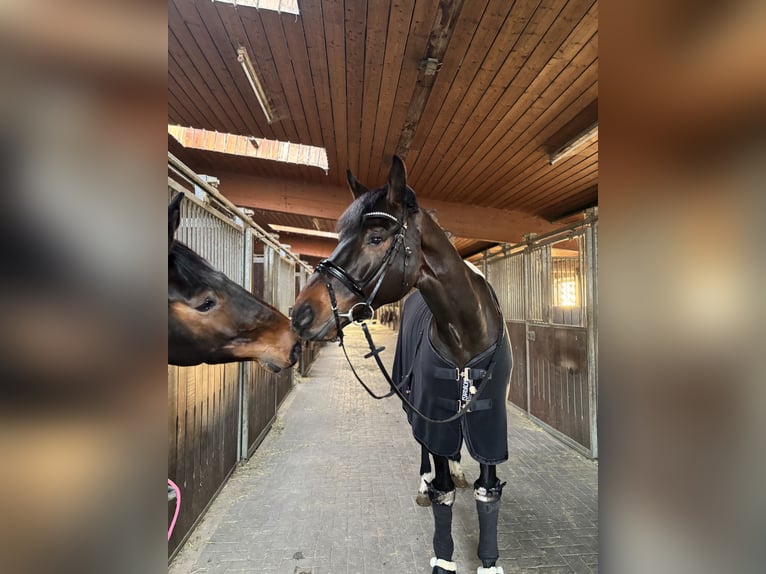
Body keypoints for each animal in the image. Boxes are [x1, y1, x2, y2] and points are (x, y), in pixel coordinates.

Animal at [292, 156, 512, 574]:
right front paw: (443, 558)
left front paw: (490, 562)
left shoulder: (487, 420)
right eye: (340, 235)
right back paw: (425, 481)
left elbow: (487, 490)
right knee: (423, 447)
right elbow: (443, 491)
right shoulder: (432, 407)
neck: (467, 331)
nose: (300, 314)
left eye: (376, 238)